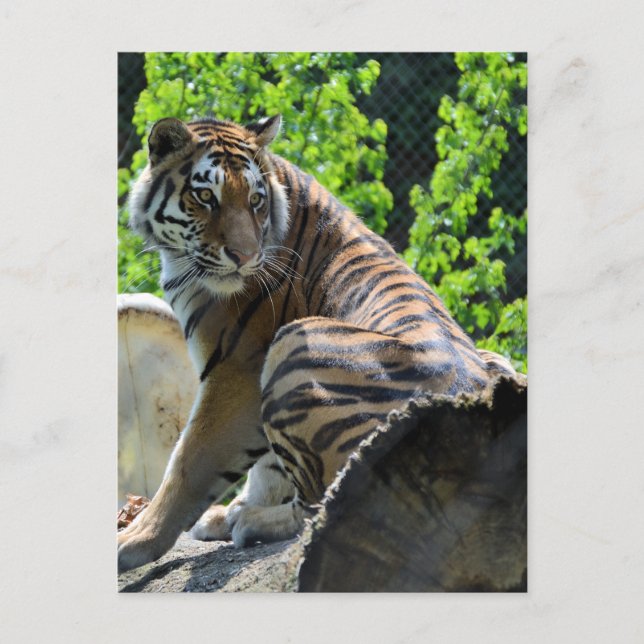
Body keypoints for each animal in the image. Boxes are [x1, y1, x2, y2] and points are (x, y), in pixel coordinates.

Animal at [117, 113, 516, 572]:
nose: (245, 257)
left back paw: (248, 521)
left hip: (294, 345)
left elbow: (188, 461)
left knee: (319, 509)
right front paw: (233, 507)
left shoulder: (237, 371)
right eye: (205, 196)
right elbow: (267, 467)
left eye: (255, 200)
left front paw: (135, 539)